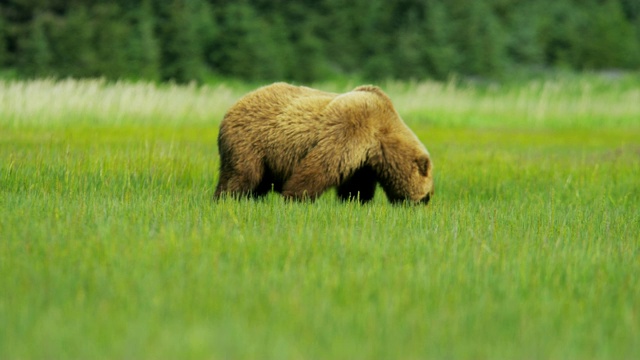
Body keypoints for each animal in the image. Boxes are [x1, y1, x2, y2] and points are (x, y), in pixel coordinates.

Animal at [212, 82, 432, 204]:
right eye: (430, 192)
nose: (425, 203)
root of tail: (233, 106)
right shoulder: (352, 127)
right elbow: (321, 165)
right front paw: (295, 197)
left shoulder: (365, 162)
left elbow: (356, 186)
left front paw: (355, 201)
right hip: (250, 141)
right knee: (241, 175)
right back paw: (226, 198)